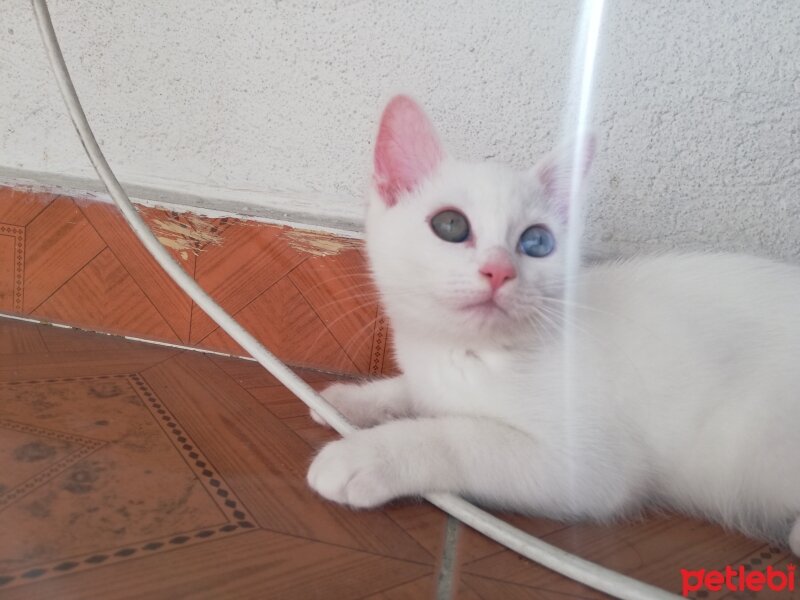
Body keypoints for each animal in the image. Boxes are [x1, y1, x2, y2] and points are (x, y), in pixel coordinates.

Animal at [308, 96, 800, 556]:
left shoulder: (591, 467)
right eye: (450, 224)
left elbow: (458, 436)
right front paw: (346, 401)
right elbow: (412, 391)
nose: (499, 271)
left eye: (537, 242)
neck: (472, 352)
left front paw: (363, 454)